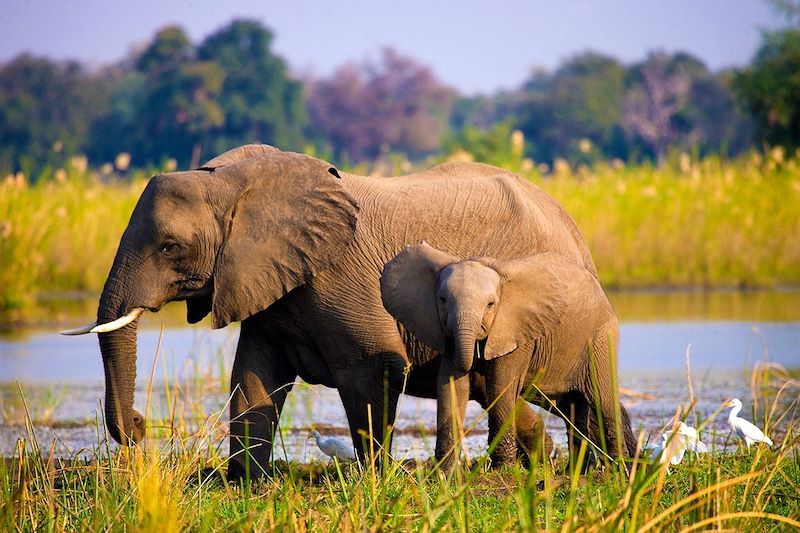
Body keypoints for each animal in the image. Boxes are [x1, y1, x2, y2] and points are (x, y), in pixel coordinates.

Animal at [62, 143, 596, 476]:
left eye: (170, 247)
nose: (138, 426)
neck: (235, 184)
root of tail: (572, 225)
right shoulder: (269, 283)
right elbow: (252, 376)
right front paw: (243, 480)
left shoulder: (341, 275)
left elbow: (373, 367)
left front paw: (375, 478)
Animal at [382, 242, 636, 470]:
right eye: (442, 300)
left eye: (490, 304)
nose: (473, 361)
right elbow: (451, 387)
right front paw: (444, 473)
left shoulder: (517, 332)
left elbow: (500, 386)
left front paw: (501, 470)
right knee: (574, 408)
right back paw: (576, 473)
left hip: (601, 337)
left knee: (602, 401)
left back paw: (617, 471)